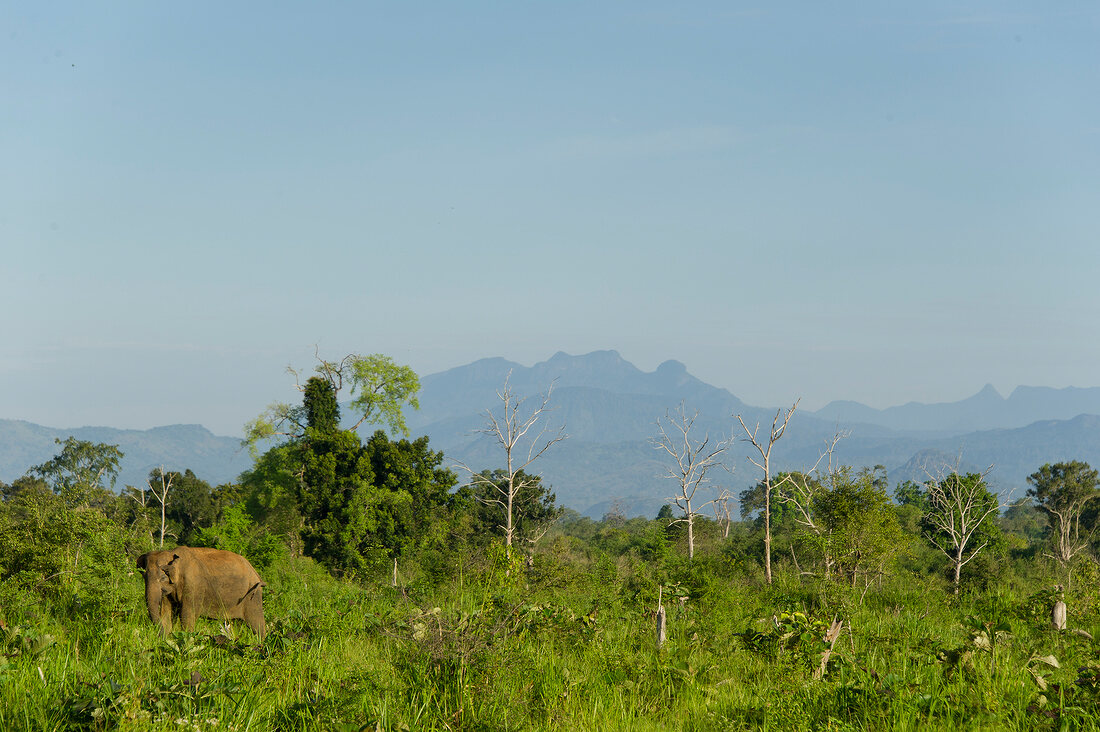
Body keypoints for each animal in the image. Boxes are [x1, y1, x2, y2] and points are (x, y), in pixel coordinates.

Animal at [137, 545, 266, 638]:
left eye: (163, 577)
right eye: (144, 576)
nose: (163, 636)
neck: (171, 553)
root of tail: (254, 571)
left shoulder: (194, 585)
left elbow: (187, 614)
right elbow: (167, 613)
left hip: (252, 596)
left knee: (257, 625)